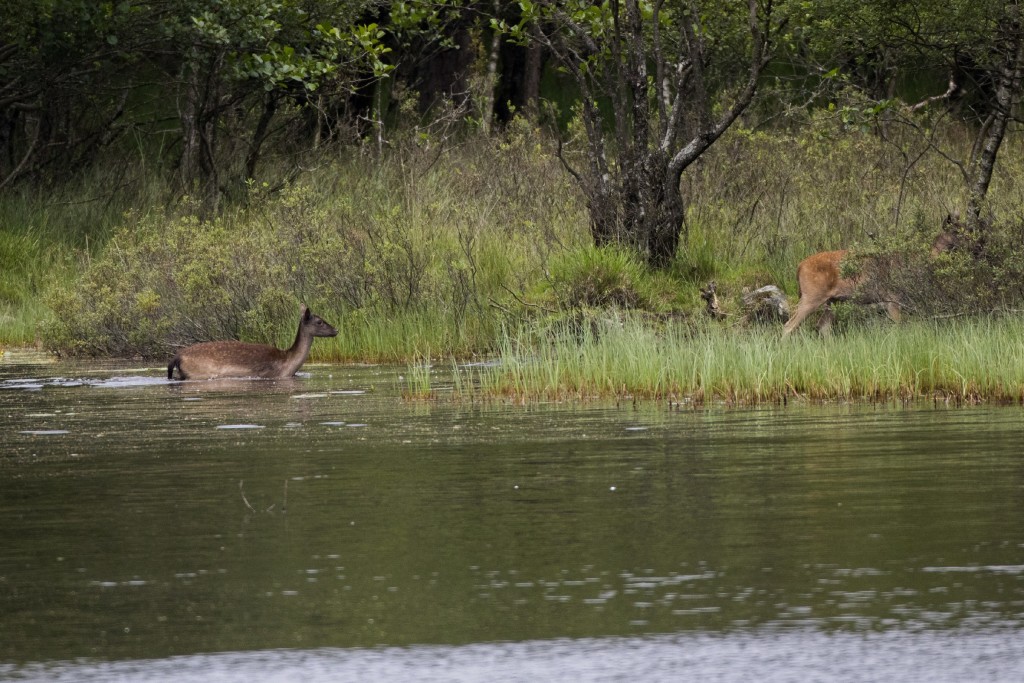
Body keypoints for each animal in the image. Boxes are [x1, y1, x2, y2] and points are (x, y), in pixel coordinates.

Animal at [165, 305, 337, 382]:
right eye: (320, 321)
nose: (336, 330)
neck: (288, 364)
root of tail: (176, 357)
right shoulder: (270, 374)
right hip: (198, 372)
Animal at [778, 225, 962, 337]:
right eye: (957, 232)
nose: (971, 245)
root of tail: (799, 267)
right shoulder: (892, 297)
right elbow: (898, 326)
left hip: (832, 300)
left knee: (823, 327)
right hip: (812, 295)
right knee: (789, 325)